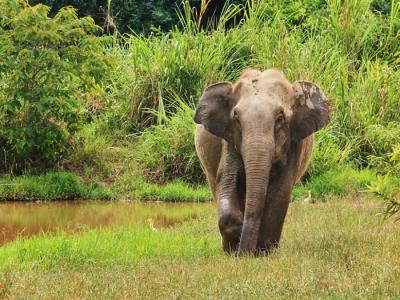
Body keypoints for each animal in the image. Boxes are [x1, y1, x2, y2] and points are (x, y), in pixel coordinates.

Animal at [195, 68, 332, 255]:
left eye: (280, 118)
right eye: (236, 118)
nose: (243, 255)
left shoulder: (294, 143)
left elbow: (281, 192)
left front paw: (264, 252)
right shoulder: (228, 140)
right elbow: (226, 180)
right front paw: (238, 240)